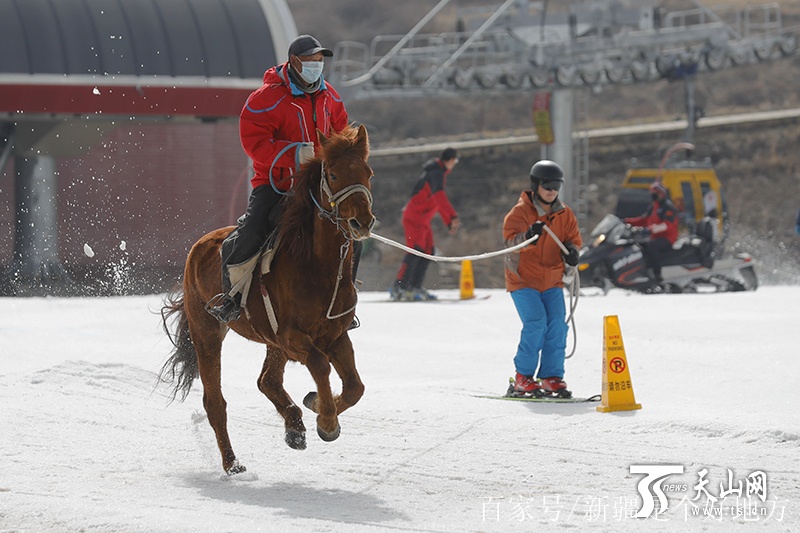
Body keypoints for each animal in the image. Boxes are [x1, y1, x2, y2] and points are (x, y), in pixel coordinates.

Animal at [162, 124, 378, 474]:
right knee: (215, 402)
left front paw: (317, 405)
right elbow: (320, 365)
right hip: (207, 333)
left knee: (267, 381)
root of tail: (200, 245)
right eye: (332, 174)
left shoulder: (335, 335)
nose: (362, 221)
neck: (316, 265)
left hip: (271, 341)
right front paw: (327, 420)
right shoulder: (292, 336)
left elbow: (355, 387)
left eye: (368, 173)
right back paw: (232, 463)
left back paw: (295, 426)